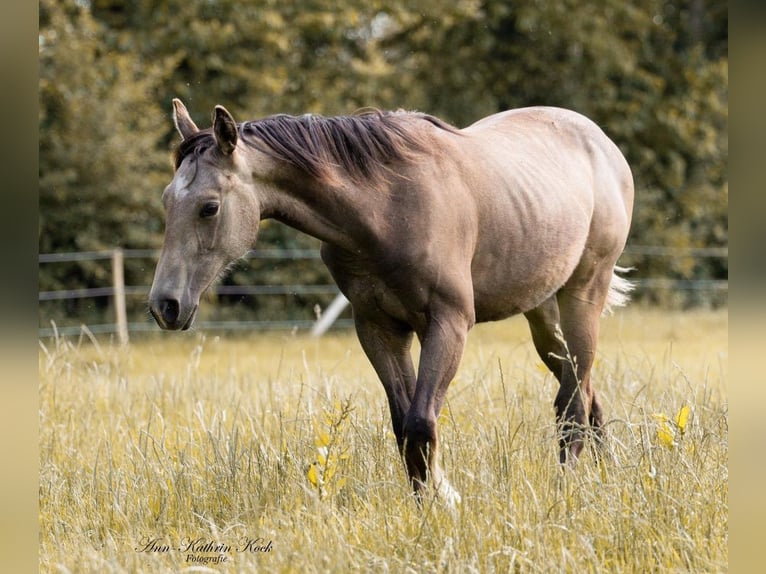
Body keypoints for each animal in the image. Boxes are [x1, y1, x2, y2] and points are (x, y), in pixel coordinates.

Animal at [149, 99, 634, 504]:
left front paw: (446, 500)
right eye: (167, 201)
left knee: (573, 401)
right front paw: (425, 505)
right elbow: (404, 428)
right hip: (542, 313)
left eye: (209, 207)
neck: (386, 207)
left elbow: (421, 423)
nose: (164, 306)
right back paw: (602, 475)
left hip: (583, 295)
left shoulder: (448, 324)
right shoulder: (379, 327)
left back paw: (567, 485)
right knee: (582, 388)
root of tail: (601, 143)